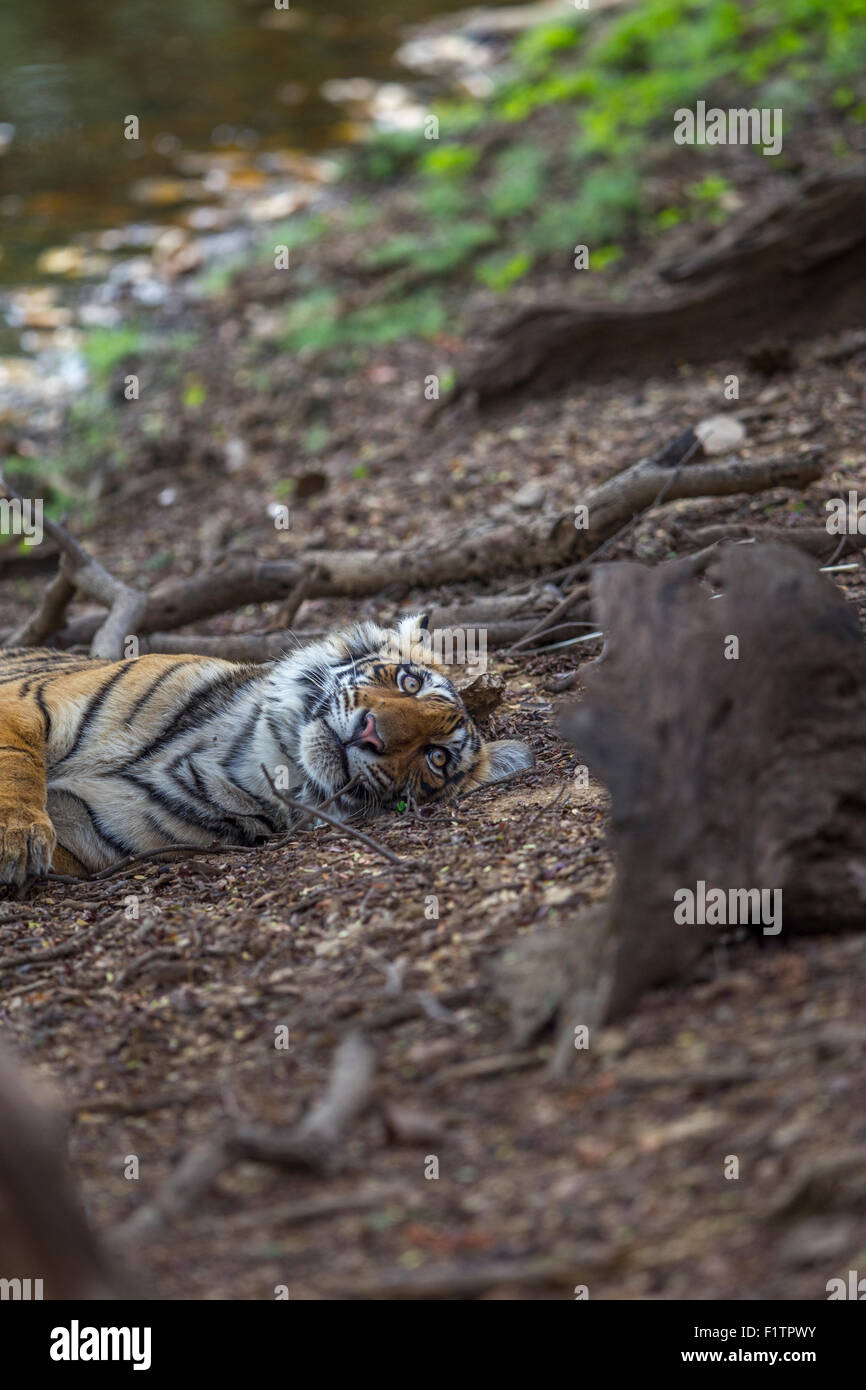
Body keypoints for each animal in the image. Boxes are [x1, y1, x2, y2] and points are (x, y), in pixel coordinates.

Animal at [0, 617, 536, 884]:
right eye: (409, 682)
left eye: (437, 758)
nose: (372, 734)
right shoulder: (26, 703)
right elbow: (17, 759)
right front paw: (17, 837)